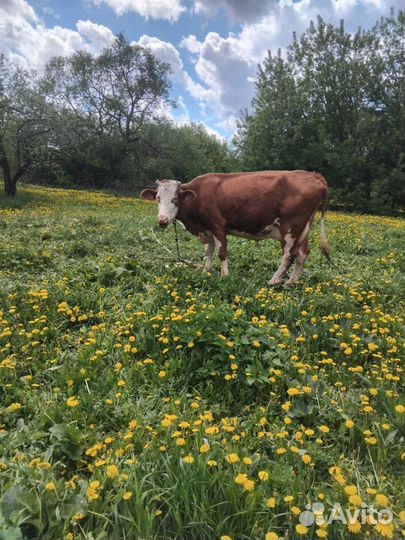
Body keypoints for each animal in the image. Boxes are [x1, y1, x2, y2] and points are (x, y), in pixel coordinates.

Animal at [140, 171, 330, 284]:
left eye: (175, 199)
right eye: (157, 198)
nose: (162, 220)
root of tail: (313, 175)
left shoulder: (218, 225)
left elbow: (221, 252)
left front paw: (224, 275)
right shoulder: (207, 228)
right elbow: (209, 250)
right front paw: (207, 270)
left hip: (290, 228)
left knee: (289, 255)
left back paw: (274, 281)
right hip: (304, 229)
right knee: (303, 253)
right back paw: (291, 282)